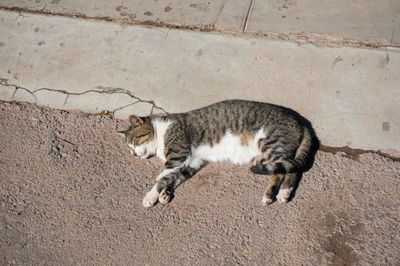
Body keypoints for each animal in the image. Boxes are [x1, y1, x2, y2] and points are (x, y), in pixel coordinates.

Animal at [117, 98, 318, 207]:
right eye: (129, 149)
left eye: (133, 142)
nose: (134, 155)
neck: (161, 131)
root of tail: (301, 122)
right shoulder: (192, 162)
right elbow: (174, 177)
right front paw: (164, 193)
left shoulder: (177, 156)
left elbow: (161, 177)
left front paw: (151, 195)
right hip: (271, 154)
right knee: (287, 169)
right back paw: (279, 192)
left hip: (268, 143)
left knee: (287, 171)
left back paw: (276, 194)